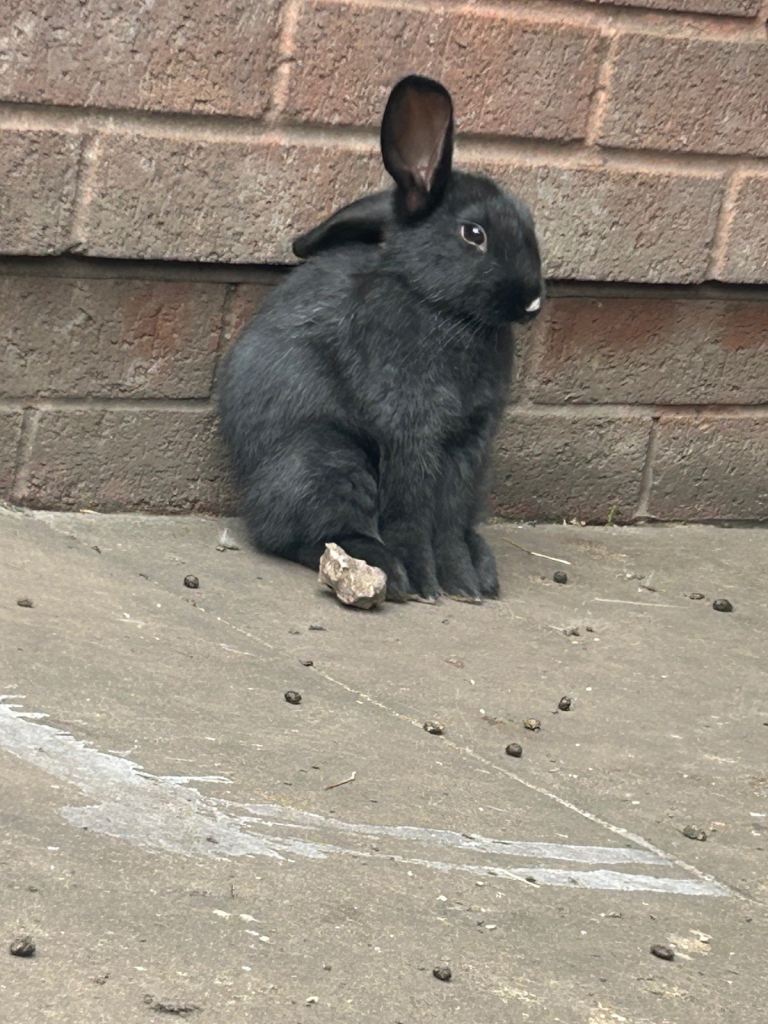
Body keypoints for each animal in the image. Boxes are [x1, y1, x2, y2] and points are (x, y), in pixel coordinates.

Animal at [218, 74, 543, 603]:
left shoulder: (469, 443)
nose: (533, 300)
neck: (438, 308)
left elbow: (448, 516)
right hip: (327, 460)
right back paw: (384, 567)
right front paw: (427, 583)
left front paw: (463, 584)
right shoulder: (410, 431)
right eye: (474, 234)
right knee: (296, 532)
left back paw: (481, 567)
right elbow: (412, 510)